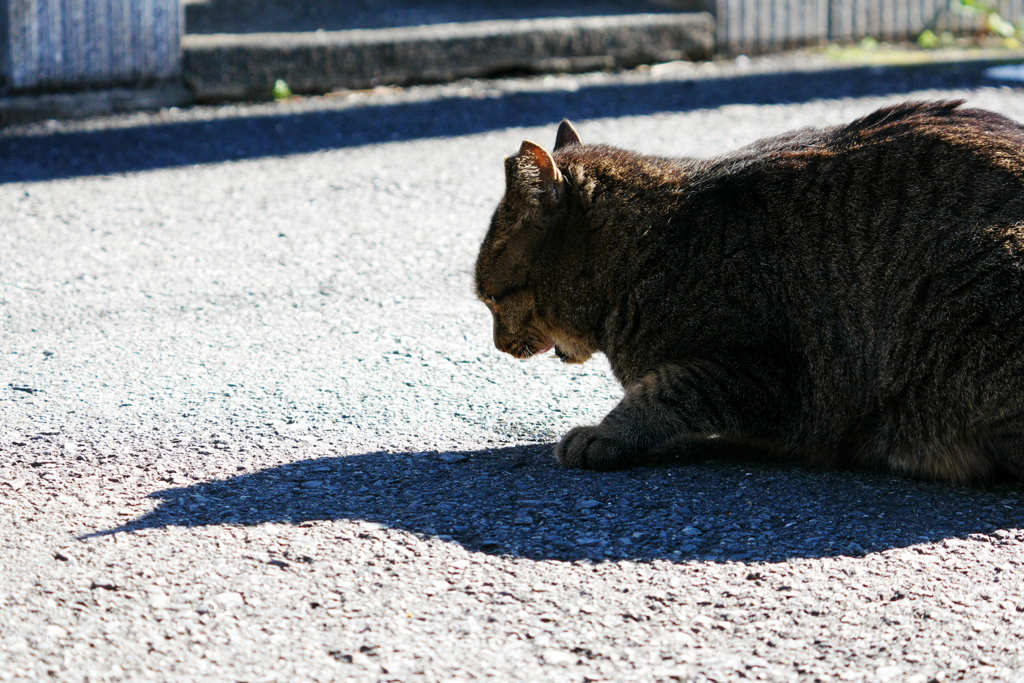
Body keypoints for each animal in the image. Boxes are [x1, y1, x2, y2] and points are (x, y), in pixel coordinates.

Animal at [473, 102, 1024, 485]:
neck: (657, 247)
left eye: (492, 300)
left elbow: (662, 390)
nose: (498, 345)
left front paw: (604, 435)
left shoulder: (762, 369)